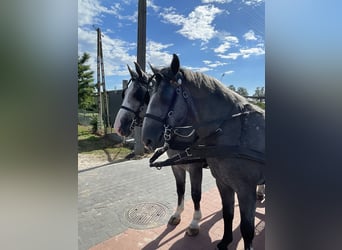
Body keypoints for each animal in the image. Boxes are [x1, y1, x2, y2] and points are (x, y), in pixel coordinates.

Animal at [113, 62, 204, 234]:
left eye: (137, 94)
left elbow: (196, 194)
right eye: (124, 94)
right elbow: (180, 189)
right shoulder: (177, 166)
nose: (117, 127)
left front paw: (195, 222)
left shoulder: (195, 167)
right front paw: (177, 214)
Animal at [142, 53, 264, 249]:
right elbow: (226, 213)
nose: (146, 139)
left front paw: (194, 224)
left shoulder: (244, 189)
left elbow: (246, 229)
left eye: (165, 97)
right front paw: (224, 242)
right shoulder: (221, 181)